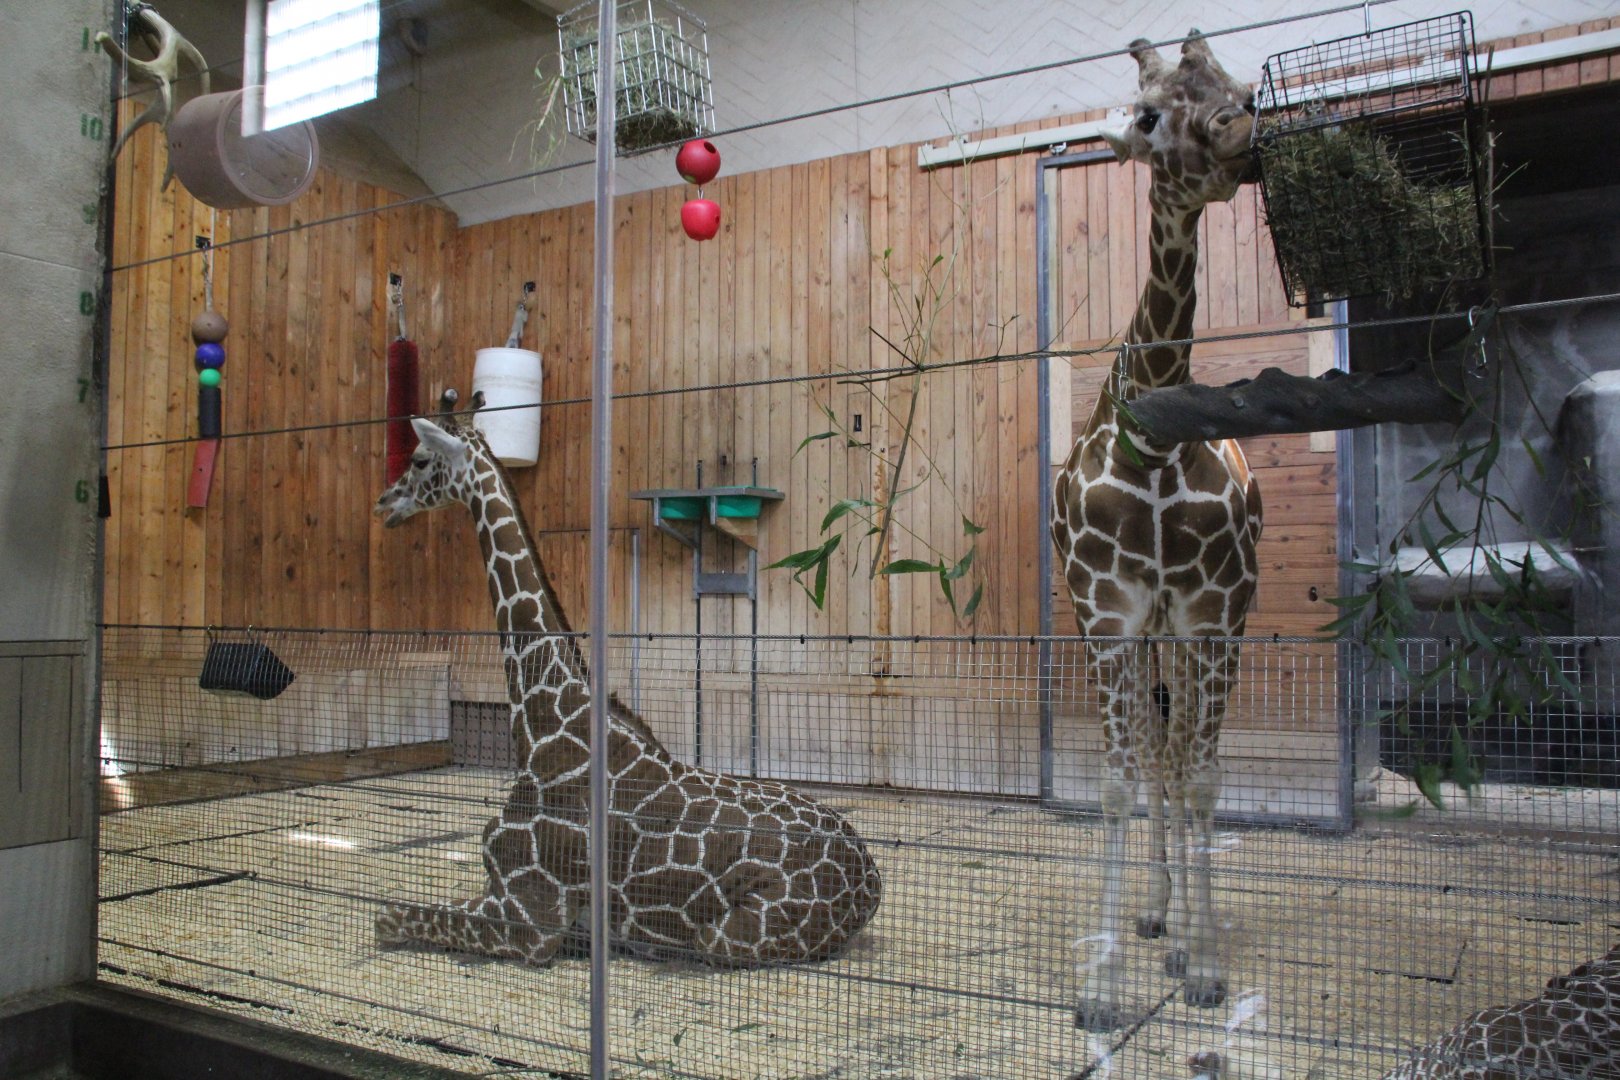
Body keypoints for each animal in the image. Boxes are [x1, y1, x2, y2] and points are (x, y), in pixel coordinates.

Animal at [372, 390, 882, 966]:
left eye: (419, 459)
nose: (385, 504)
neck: (541, 728)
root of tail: (871, 882)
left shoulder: (531, 920)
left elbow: (386, 918)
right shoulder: (502, 896)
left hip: (725, 935)